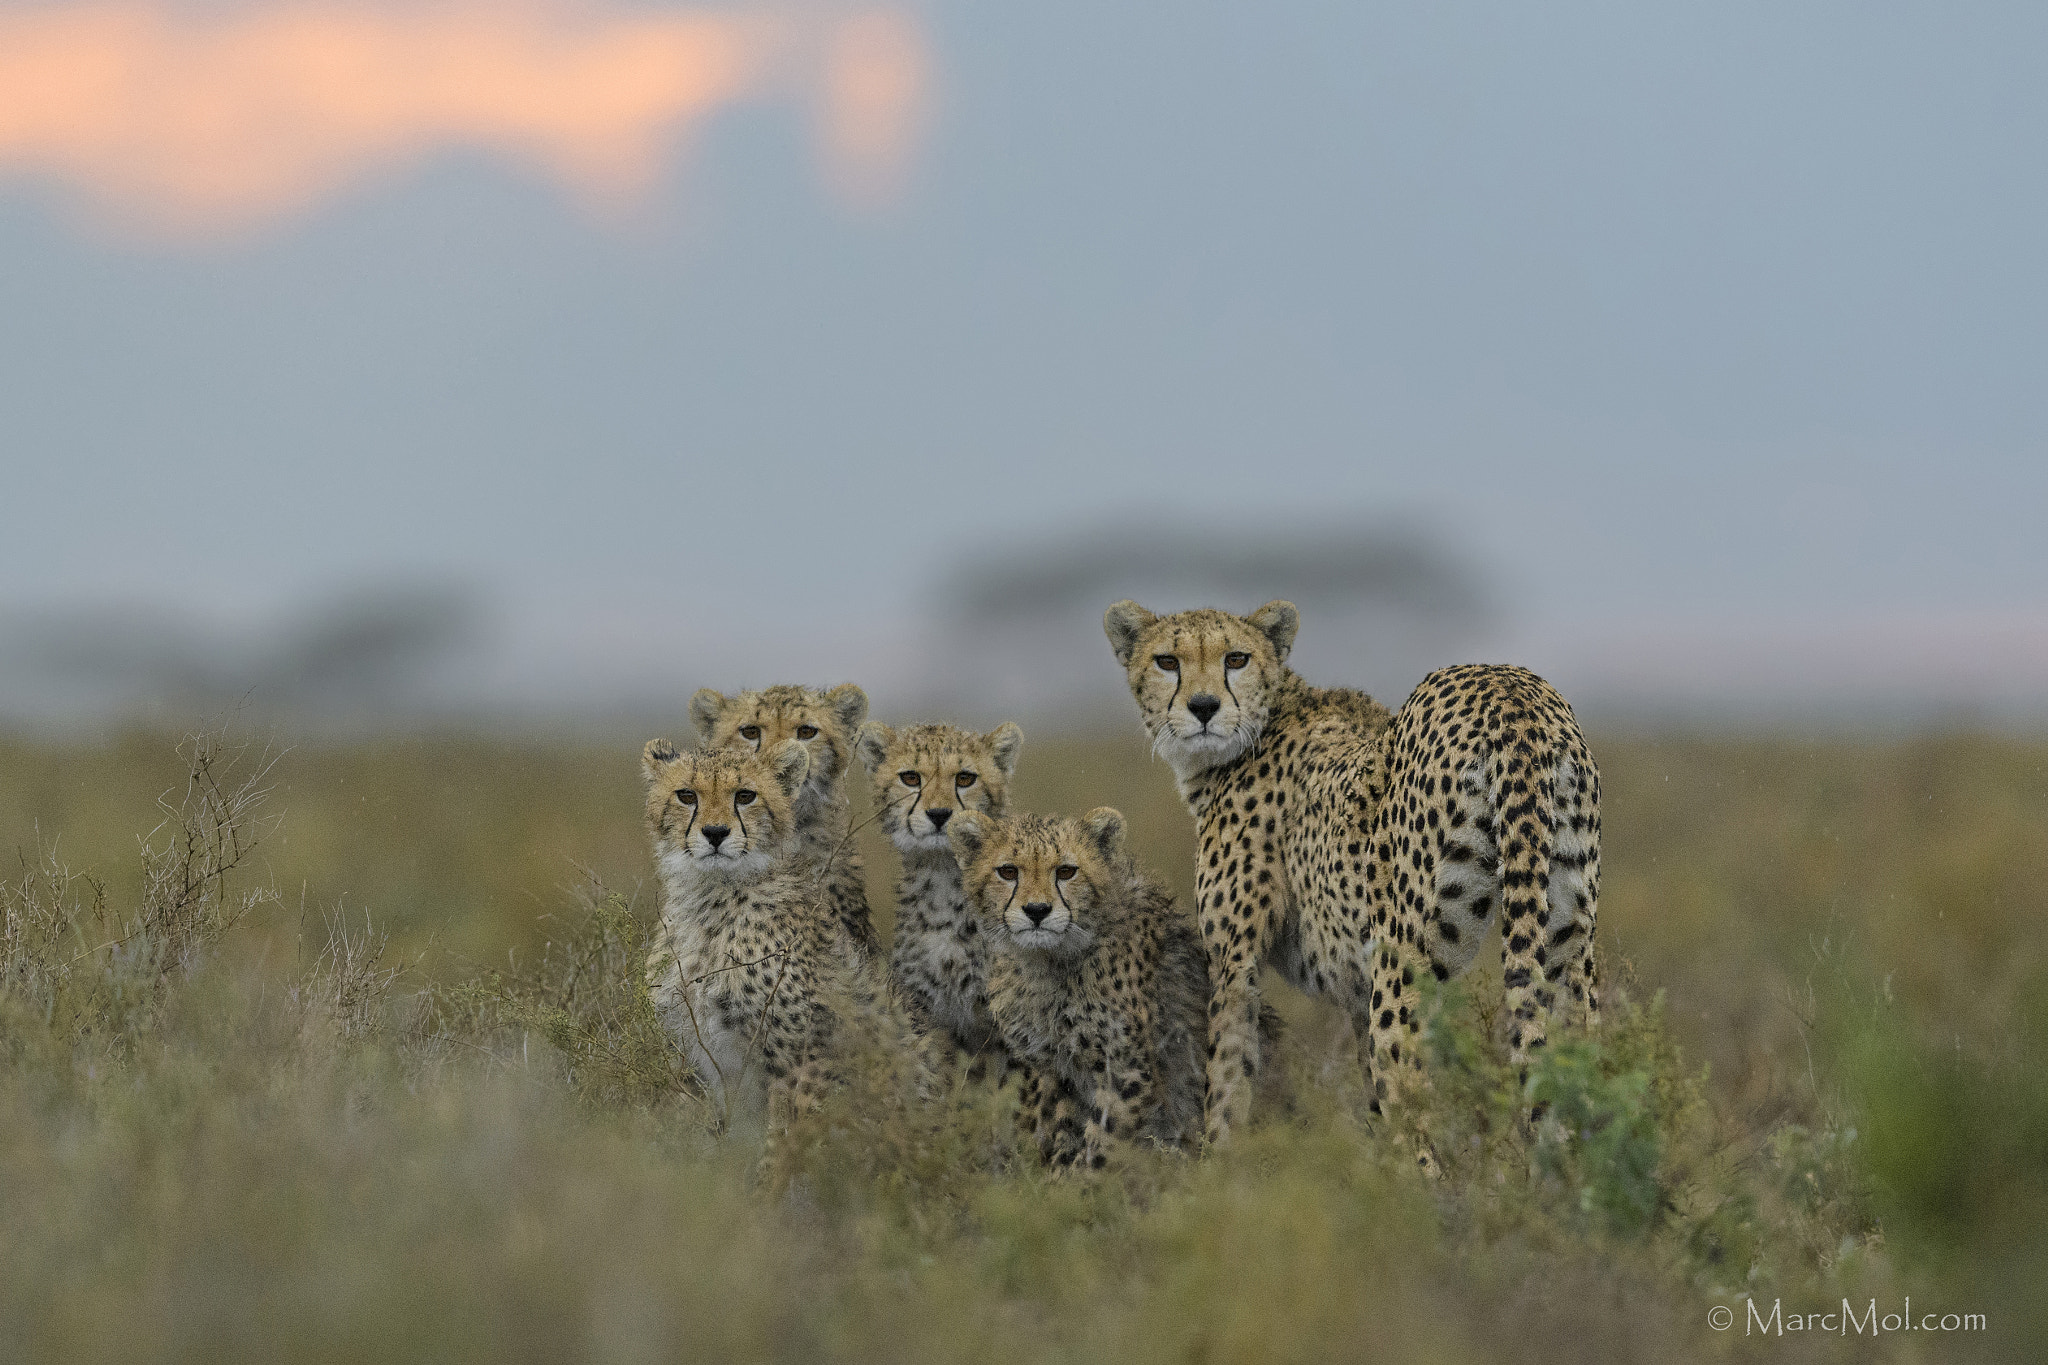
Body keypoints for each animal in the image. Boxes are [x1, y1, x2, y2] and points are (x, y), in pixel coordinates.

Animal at [642, 735, 916, 1142]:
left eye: (745, 796)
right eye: (686, 795)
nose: (715, 833)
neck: (712, 901)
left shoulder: (804, 1056)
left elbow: (784, 1142)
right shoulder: (703, 1059)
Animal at [948, 805, 1215, 1171]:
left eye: (1066, 871)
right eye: (1007, 871)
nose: (1037, 911)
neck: (1050, 962)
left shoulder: (1126, 1073)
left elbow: (1100, 1145)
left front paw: (1077, 1183)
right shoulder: (1055, 1069)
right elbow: (1066, 1132)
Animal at [1105, 598, 1602, 1146]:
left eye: (1235, 659)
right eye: (1166, 661)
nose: (1204, 707)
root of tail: (1508, 689)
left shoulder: (1235, 965)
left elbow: (1227, 1087)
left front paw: (1216, 1162)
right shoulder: (1355, 993)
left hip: (1400, 964)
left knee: (1411, 1106)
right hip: (1566, 948)